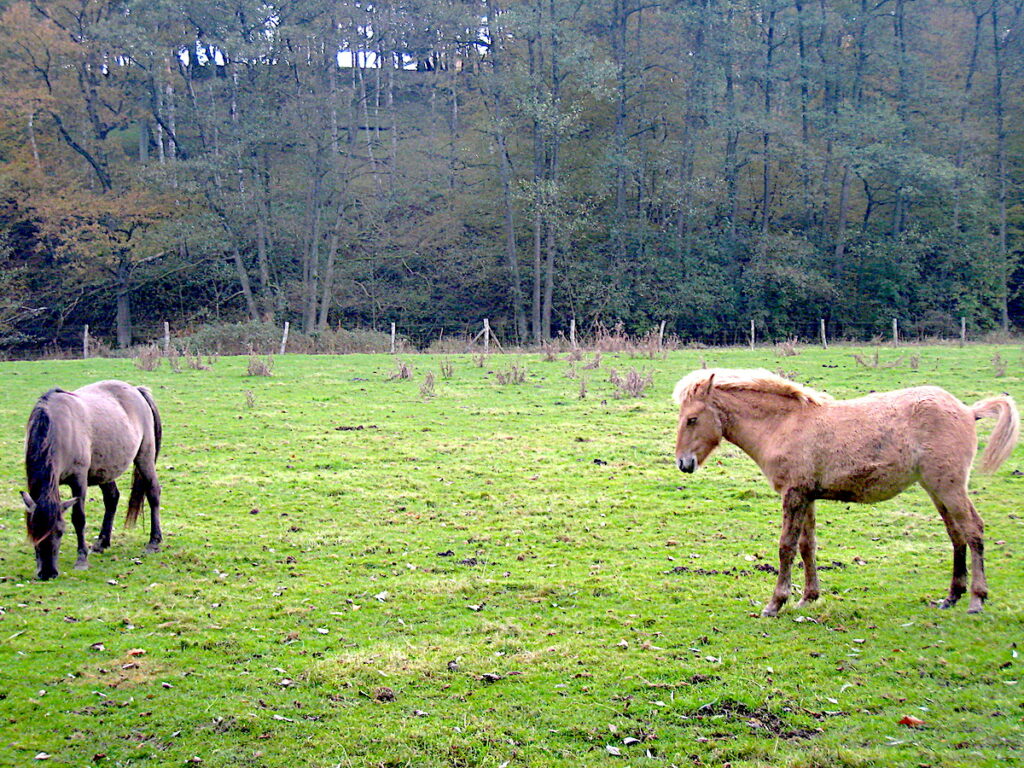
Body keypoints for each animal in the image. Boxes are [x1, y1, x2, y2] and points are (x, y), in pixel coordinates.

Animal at [22, 382, 161, 581]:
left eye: (60, 531)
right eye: (33, 531)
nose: (48, 573)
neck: (58, 427)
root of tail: (137, 390)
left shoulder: (79, 480)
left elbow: (79, 518)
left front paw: (81, 559)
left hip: (145, 457)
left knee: (153, 492)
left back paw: (154, 541)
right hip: (105, 470)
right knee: (112, 498)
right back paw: (102, 542)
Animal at [671, 370, 1015, 618]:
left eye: (692, 419)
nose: (683, 463)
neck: (784, 425)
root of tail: (968, 411)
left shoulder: (793, 495)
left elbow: (786, 547)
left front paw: (775, 603)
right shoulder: (807, 496)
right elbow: (807, 546)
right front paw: (808, 598)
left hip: (949, 486)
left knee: (973, 530)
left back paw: (976, 599)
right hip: (936, 488)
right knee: (956, 535)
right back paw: (951, 597)